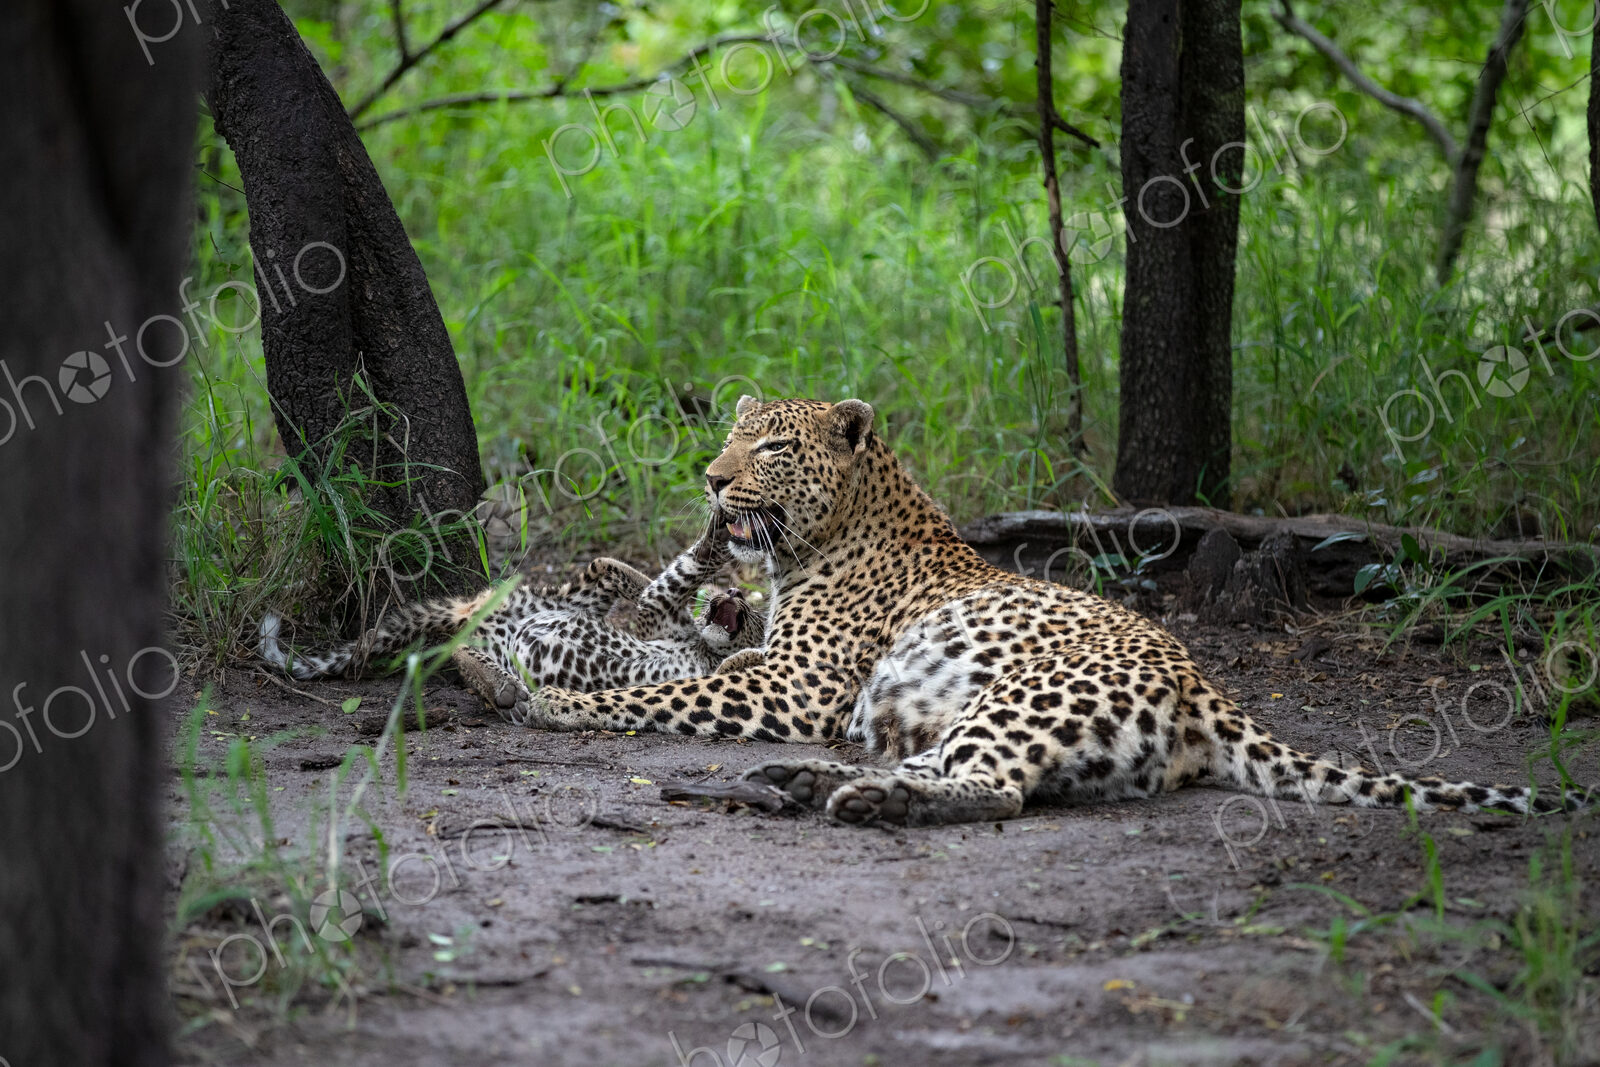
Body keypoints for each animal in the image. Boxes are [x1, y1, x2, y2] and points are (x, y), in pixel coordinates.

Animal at [258, 514, 765, 713]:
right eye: (737, 593)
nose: (732, 593)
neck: (699, 646)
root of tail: (480, 607)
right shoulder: (656, 615)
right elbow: (684, 571)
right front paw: (722, 525)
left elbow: (735, 660)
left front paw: (745, 653)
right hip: (557, 600)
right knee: (606, 566)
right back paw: (504, 688)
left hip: (516, 624)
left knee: (457, 649)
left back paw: (501, 686)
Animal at [500, 394, 1590, 828]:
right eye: (735, 438)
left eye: (772, 446)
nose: (711, 479)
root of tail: (1204, 686)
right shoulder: (774, 673)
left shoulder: (793, 686)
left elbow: (662, 694)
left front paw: (553, 699)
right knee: (951, 767)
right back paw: (810, 782)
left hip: (1026, 693)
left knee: (995, 790)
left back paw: (857, 797)